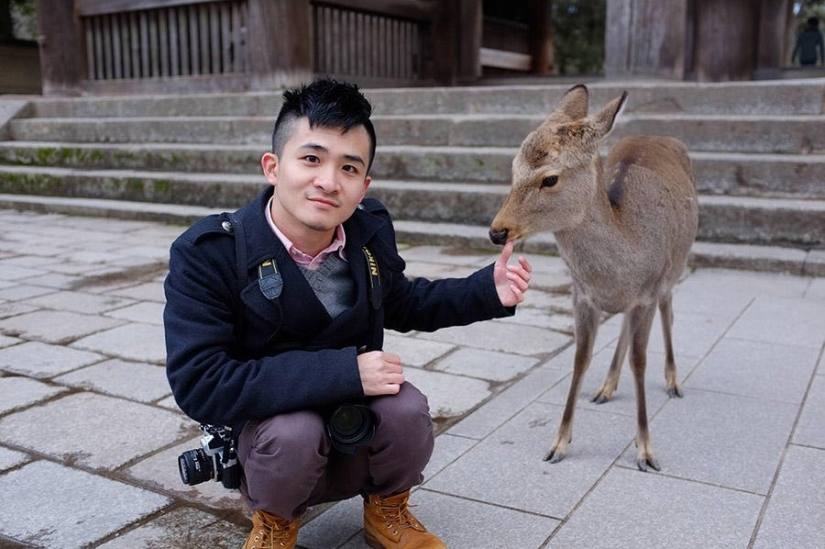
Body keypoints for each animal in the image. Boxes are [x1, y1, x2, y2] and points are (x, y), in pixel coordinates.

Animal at [490, 85, 696, 470]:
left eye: (550, 178)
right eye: (513, 168)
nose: (497, 231)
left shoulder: (647, 292)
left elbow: (640, 361)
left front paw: (646, 450)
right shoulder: (582, 295)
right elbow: (580, 358)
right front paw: (558, 443)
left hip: (676, 266)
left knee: (669, 309)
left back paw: (674, 381)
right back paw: (606, 387)